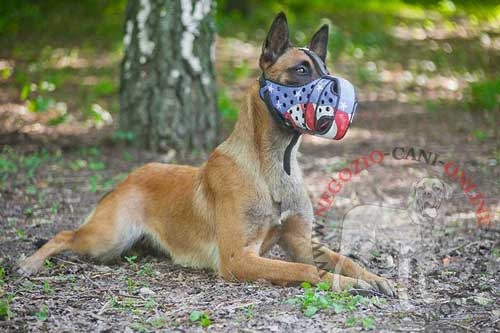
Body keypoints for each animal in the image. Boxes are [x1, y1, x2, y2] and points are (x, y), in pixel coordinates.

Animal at [18, 13, 394, 294]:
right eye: (301, 69)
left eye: (324, 69)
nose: (341, 93)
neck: (275, 163)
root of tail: (130, 176)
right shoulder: (238, 258)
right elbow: (307, 271)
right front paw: (346, 284)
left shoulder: (300, 242)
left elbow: (345, 258)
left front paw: (374, 278)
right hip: (107, 239)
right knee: (64, 235)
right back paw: (29, 263)